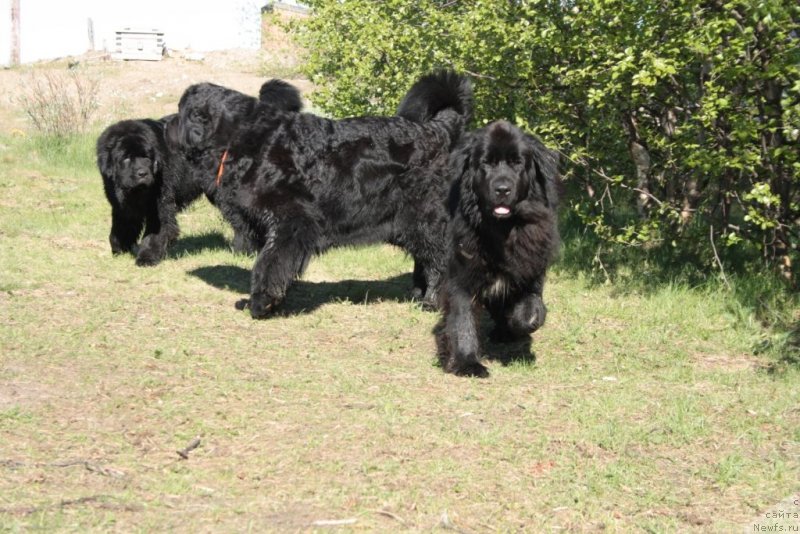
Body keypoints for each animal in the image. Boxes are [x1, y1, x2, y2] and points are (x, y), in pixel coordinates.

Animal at [176, 70, 472, 318]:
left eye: (182, 112)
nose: (169, 126)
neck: (247, 140)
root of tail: (438, 131)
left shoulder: (291, 223)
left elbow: (270, 264)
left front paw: (261, 303)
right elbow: (270, 263)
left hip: (425, 221)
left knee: (439, 261)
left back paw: (433, 302)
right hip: (408, 226)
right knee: (425, 260)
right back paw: (419, 295)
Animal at [434, 122, 560, 382]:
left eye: (517, 163)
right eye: (487, 163)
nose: (502, 189)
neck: (502, 230)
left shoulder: (531, 266)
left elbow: (529, 311)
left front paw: (520, 323)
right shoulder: (461, 274)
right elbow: (463, 318)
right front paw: (468, 363)